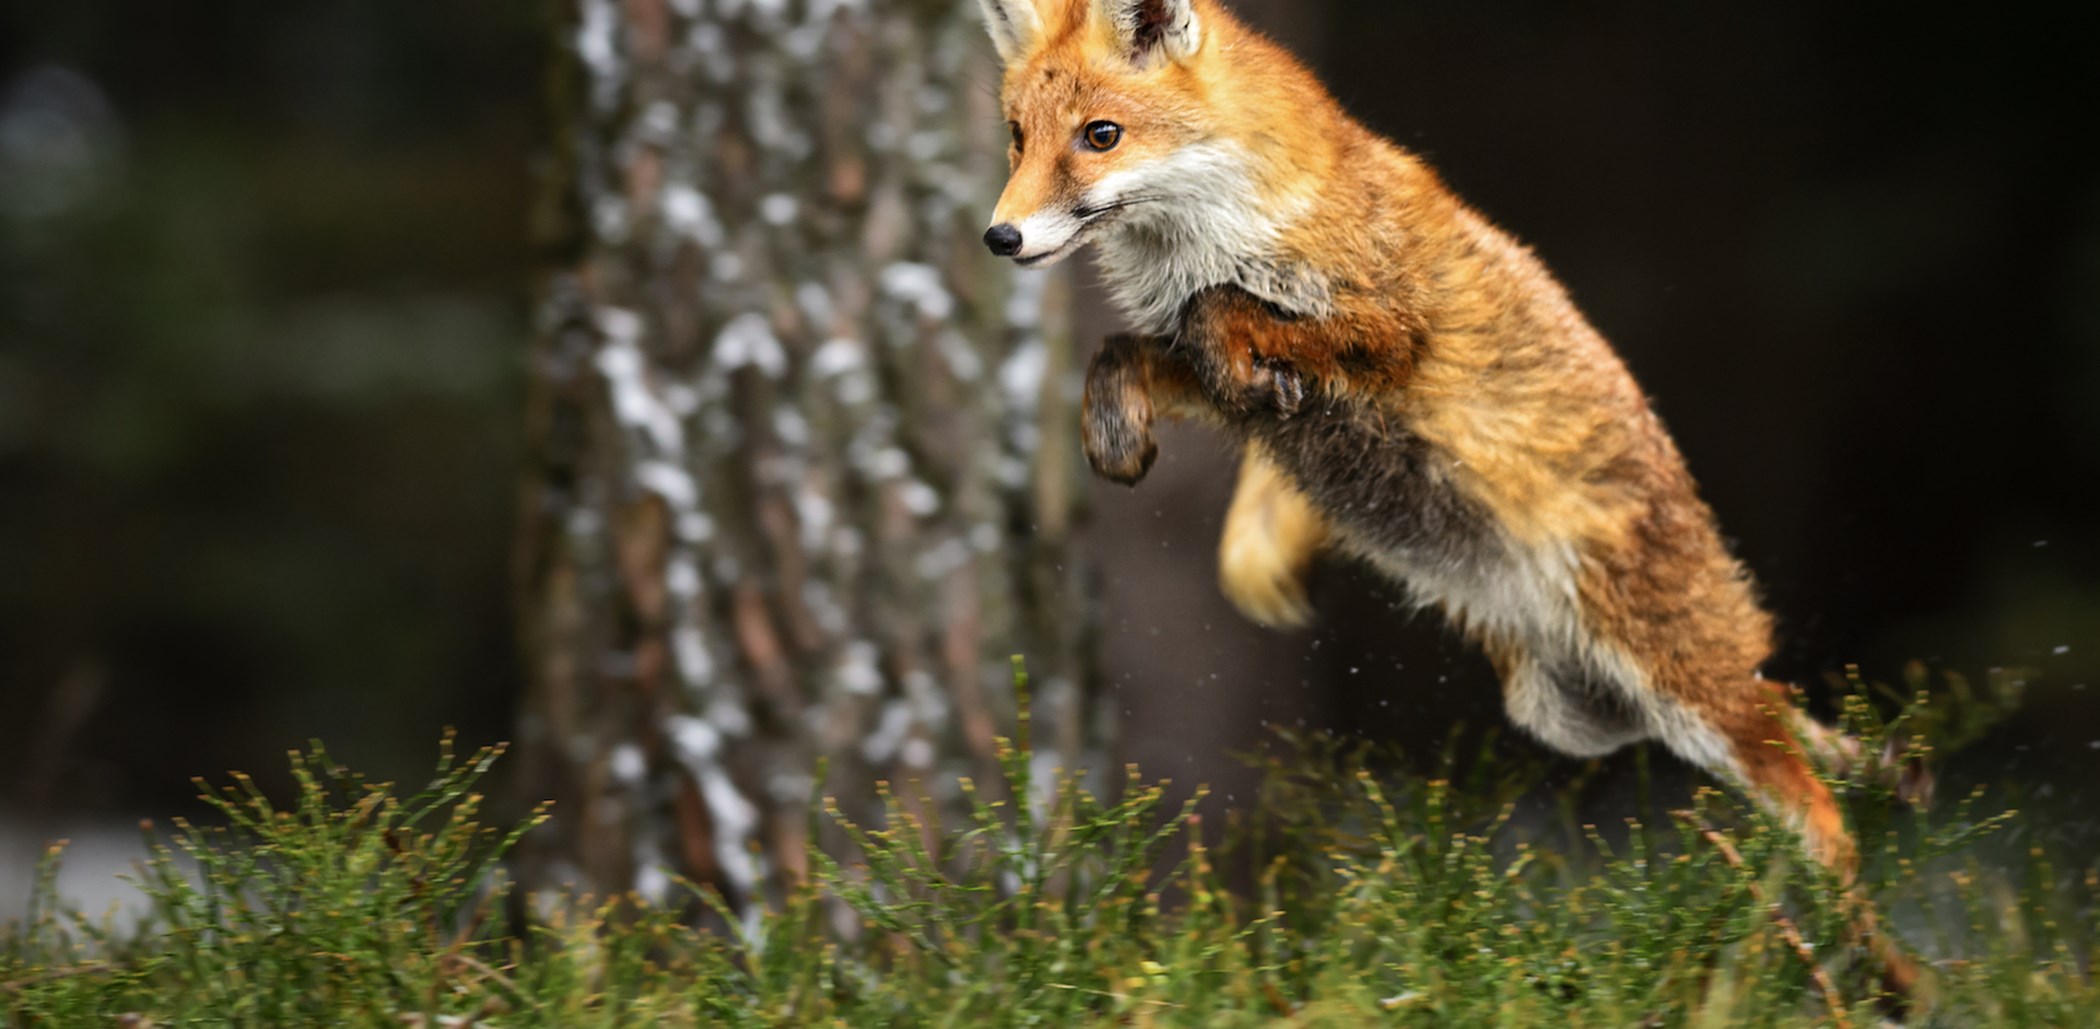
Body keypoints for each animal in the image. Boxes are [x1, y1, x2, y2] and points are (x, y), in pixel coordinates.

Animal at [976, 0, 1927, 1006]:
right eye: (1017, 136)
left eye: (1100, 135)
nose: (1000, 237)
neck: (1222, 230)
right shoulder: (1206, 379)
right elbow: (1126, 352)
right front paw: (1119, 434)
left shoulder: (1391, 326)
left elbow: (1224, 313)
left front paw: (1232, 355)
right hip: (1577, 715)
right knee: (1787, 721)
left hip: (1682, 690)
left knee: (1821, 806)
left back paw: (1881, 970)